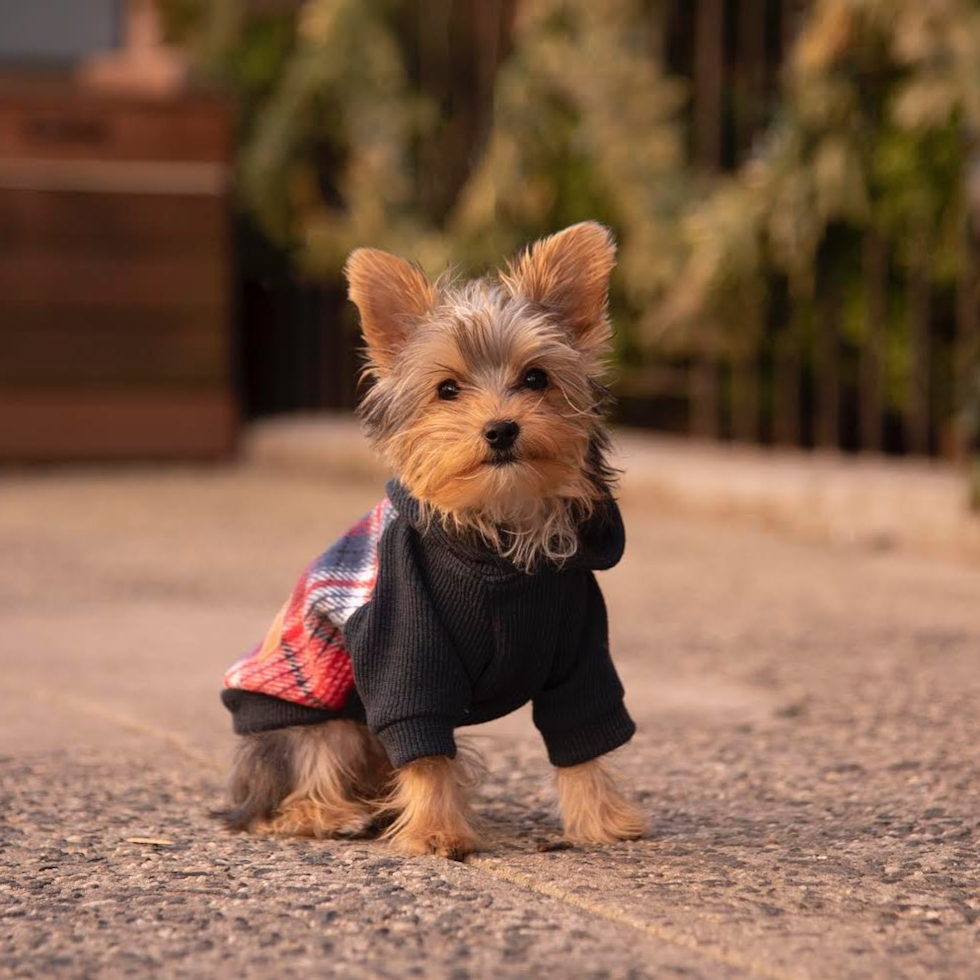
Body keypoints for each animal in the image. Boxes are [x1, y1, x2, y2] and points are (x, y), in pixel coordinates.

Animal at [219, 222, 648, 856]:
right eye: (447, 389)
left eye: (536, 378)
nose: (500, 429)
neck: (499, 534)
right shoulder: (404, 642)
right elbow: (421, 741)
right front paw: (436, 832)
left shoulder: (581, 647)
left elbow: (583, 728)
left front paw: (602, 820)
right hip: (311, 715)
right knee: (309, 763)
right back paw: (328, 813)